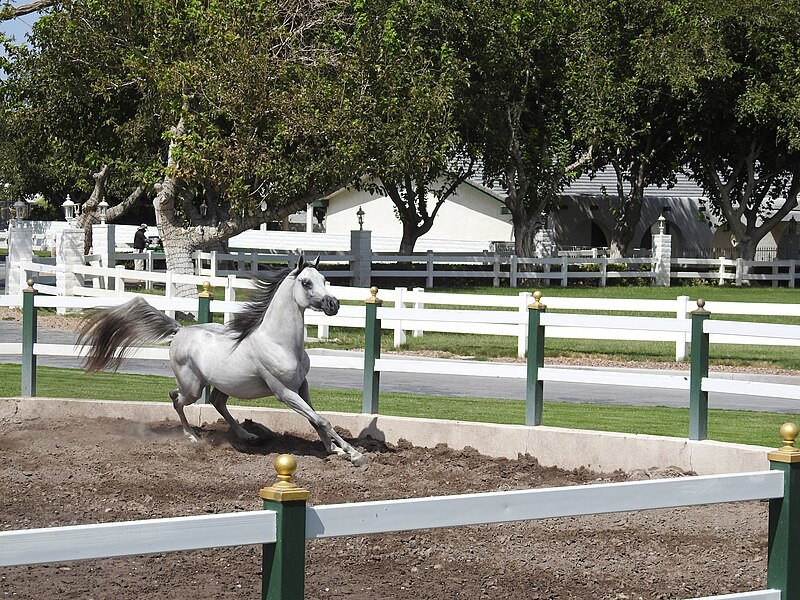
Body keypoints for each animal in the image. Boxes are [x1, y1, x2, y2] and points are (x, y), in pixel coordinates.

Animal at [78, 255, 366, 466]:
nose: (333, 304)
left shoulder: (301, 387)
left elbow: (316, 419)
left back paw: (247, 435)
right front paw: (354, 455)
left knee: (216, 402)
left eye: (324, 279)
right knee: (176, 398)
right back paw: (193, 437)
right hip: (193, 388)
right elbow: (321, 420)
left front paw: (334, 449)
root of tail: (180, 331)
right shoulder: (284, 392)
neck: (279, 343)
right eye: (306, 282)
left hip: (225, 384)